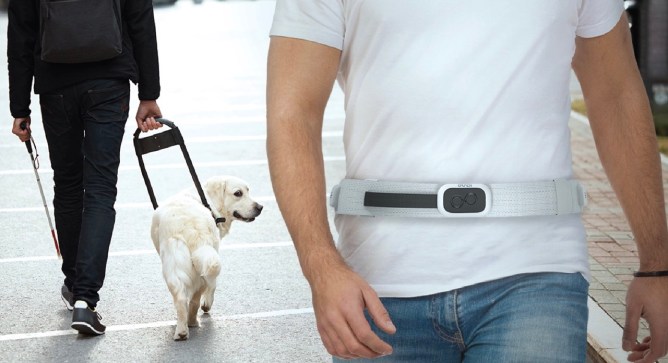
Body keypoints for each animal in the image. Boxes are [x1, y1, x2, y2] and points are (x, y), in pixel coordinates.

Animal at [151, 176, 264, 342]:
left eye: (248, 190)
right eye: (238, 193)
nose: (260, 207)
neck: (208, 203)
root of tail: (193, 229)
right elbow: (213, 287)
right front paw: (207, 304)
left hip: (175, 267)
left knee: (182, 299)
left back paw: (182, 330)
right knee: (196, 297)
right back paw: (191, 322)